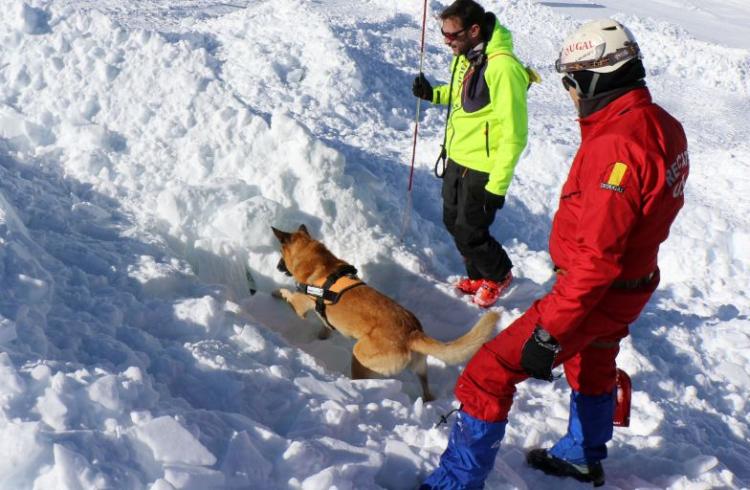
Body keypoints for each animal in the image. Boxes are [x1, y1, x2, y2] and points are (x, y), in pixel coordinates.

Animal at [270, 226, 500, 402]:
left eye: (281, 255)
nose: (277, 266)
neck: (320, 263)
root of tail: (411, 332)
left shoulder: (300, 306)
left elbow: (289, 296)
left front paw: (276, 293)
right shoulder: (325, 322)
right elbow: (324, 328)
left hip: (360, 356)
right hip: (420, 366)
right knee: (426, 387)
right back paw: (427, 401)